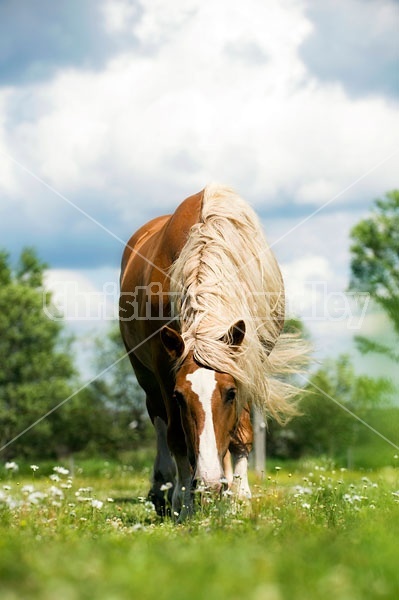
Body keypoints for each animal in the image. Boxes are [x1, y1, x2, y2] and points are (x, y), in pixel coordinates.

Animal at [119, 184, 306, 520]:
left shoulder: (247, 362)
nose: (207, 483)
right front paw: (183, 502)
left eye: (230, 393)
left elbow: (240, 434)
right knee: (159, 420)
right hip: (144, 376)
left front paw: (239, 498)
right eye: (180, 397)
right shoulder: (164, 369)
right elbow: (177, 439)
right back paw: (164, 489)